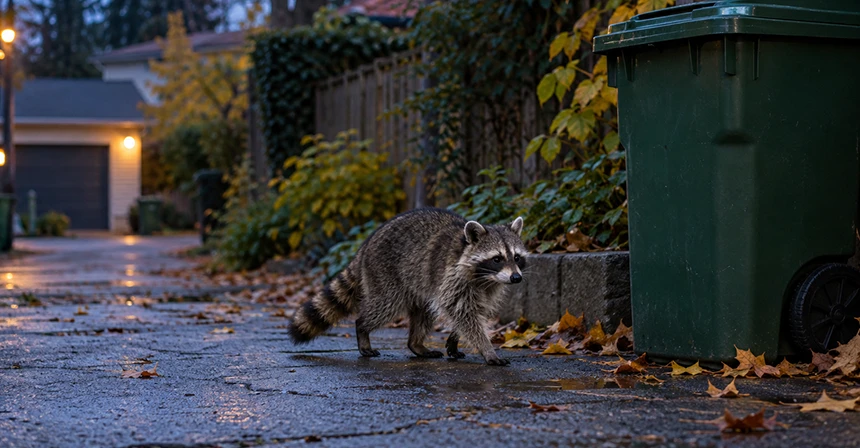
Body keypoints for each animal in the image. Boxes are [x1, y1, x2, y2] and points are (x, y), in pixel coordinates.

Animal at [288, 208, 528, 366]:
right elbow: (461, 311)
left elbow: (474, 310)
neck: (485, 277)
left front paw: (455, 337)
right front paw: (486, 348)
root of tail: (365, 245)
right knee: (384, 307)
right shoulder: (452, 276)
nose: (516, 278)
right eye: (497, 259)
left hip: (419, 283)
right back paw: (363, 329)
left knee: (423, 311)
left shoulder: (490, 286)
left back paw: (416, 344)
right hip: (385, 274)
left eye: (516, 257)